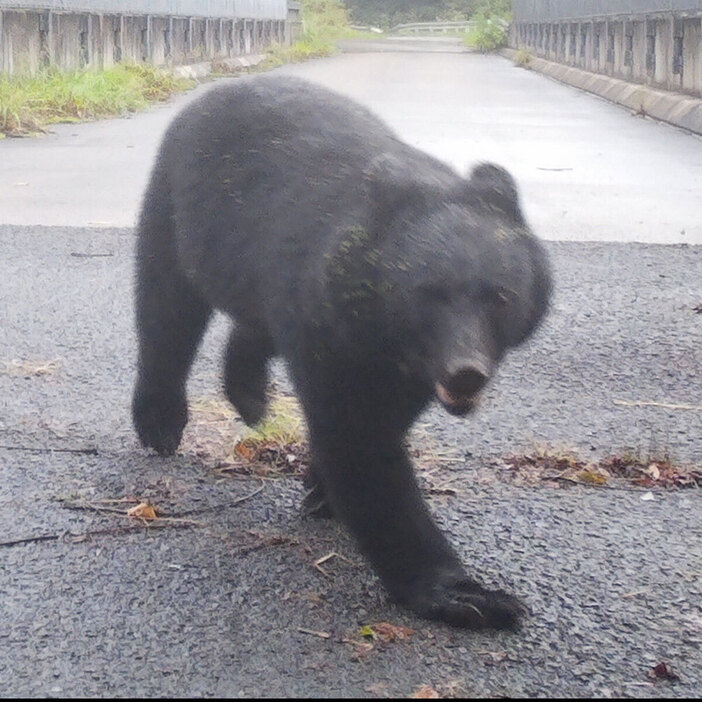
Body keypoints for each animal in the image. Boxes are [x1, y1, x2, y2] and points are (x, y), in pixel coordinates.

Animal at [131, 75, 552, 632]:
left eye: (500, 295)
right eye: (428, 293)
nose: (466, 373)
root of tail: (218, 88)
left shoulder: (399, 361)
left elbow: (384, 420)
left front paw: (319, 489)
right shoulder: (327, 323)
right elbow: (360, 442)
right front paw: (468, 594)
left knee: (249, 324)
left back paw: (248, 393)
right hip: (180, 208)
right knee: (166, 309)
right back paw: (160, 420)